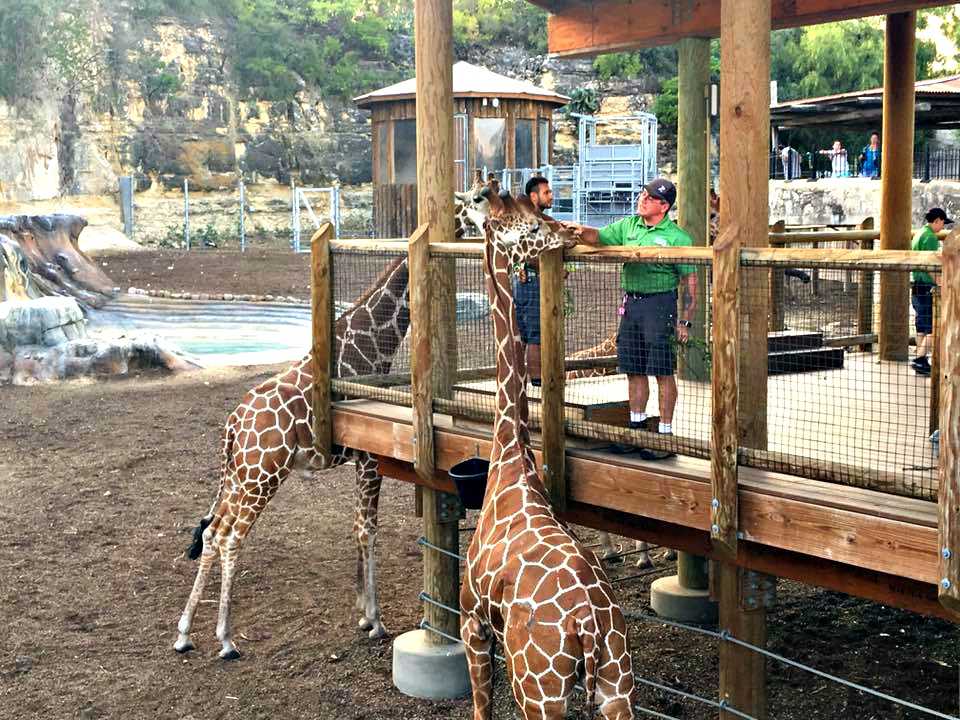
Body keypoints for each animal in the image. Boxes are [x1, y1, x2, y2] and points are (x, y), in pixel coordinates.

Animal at [460, 191, 632, 720]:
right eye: (531, 226)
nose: (570, 231)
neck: (510, 459)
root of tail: (589, 623)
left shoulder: (472, 621)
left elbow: (480, 709)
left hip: (540, 688)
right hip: (617, 683)